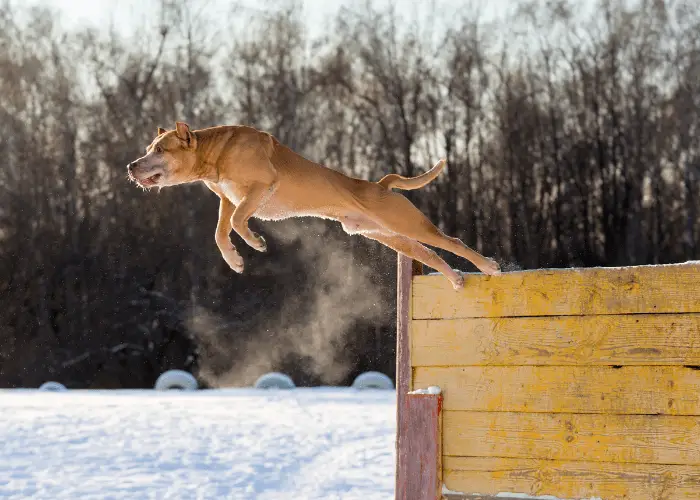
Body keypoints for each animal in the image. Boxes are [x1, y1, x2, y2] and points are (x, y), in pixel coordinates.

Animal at [126, 122, 498, 290]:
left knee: (451, 242)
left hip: (405, 223)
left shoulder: (259, 188)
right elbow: (220, 232)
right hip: (386, 234)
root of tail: (381, 185)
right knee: (430, 253)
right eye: (147, 148)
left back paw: (488, 266)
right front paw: (235, 261)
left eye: (159, 149)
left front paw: (255, 242)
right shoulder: (226, 198)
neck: (215, 152)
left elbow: (237, 221)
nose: (131, 166)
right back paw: (455, 278)